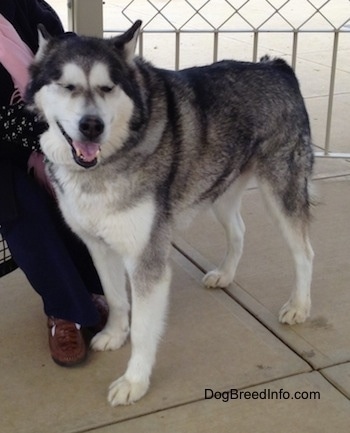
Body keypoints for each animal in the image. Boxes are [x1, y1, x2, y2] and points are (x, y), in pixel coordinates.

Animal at [25, 20, 314, 404]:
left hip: (281, 191)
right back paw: (225, 274)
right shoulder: (99, 246)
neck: (106, 163)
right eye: (67, 86)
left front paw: (134, 381)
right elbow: (116, 298)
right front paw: (115, 334)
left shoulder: (147, 259)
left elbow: (144, 330)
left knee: (304, 252)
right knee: (239, 230)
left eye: (107, 87)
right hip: (219, 189)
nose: (92, 126)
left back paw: (299, 306)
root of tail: (276, 66)